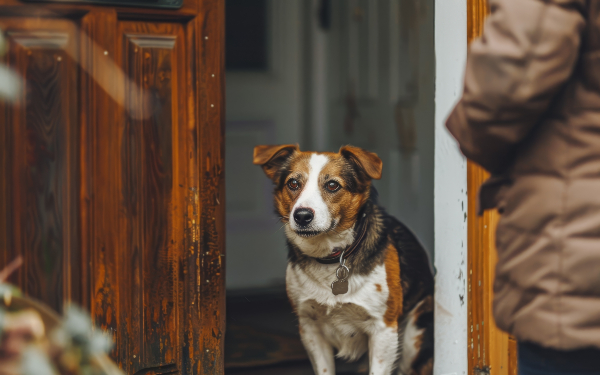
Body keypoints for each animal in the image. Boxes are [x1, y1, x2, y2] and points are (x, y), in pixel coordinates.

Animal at [252, 145, 432, 375]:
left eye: (332, 185)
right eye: (293, 183)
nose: (302, 216)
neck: (331, 257)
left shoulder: (384, 330)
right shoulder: (310, 328)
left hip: (413, 338)